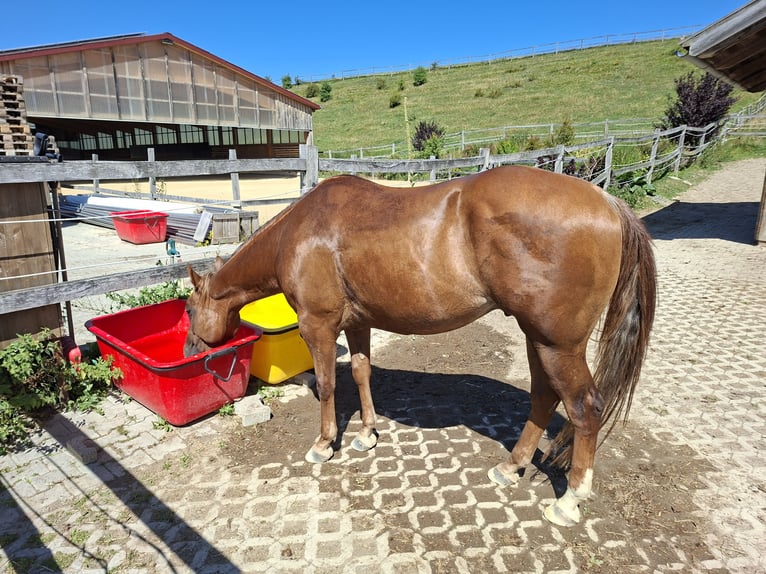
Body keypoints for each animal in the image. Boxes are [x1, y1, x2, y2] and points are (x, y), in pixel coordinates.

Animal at [184, 165, 656, 526]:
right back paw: (510, 467)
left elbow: (328, 383)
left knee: (584, 409)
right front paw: (367, 434)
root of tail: (607, 202)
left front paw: (324, 444)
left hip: (558, 345)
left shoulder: (318, 326)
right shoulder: (358, 324)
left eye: (188, 309)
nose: (190, 351)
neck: (299, 234)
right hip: (538, 340)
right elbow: (361, 372)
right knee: (544, 396)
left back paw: (569, 501)